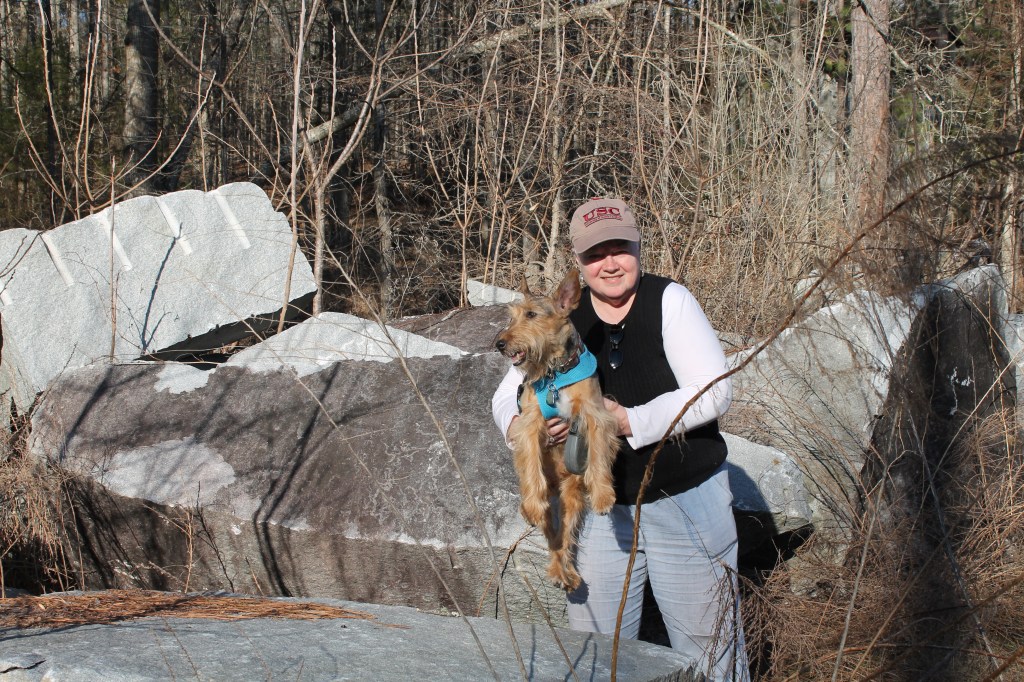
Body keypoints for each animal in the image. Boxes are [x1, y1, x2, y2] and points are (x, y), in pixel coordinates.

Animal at [495, 269, 620, 590]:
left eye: (531, 314)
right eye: (512, 316)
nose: (499, 343)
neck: (555, 373)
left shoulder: (595, 415)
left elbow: (599, 457)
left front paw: (603, 496)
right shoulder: (528, 423)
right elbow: (531, 467)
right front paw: (532, 505)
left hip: (571, 499)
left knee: (565, 538)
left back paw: (567, 573)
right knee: (552, 535)